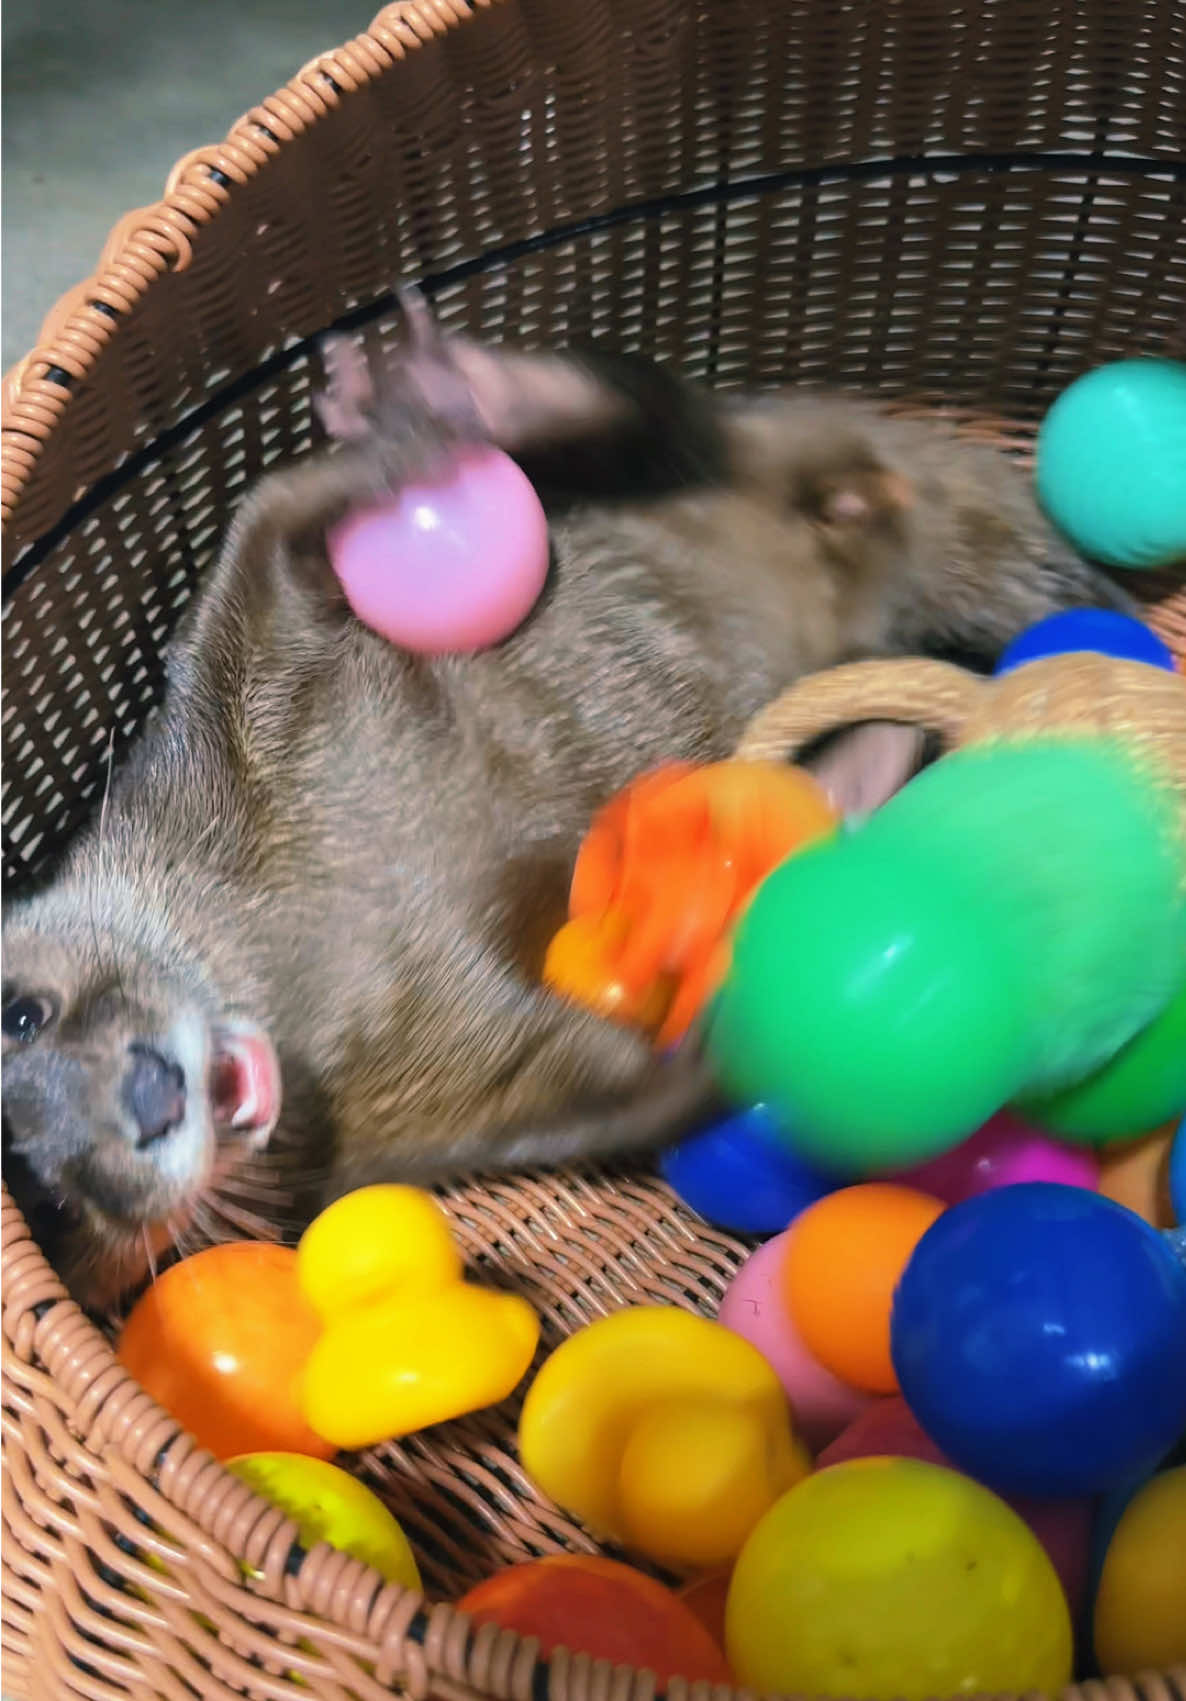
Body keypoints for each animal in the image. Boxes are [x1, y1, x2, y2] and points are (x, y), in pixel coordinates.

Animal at [2, 295, 1129, 1299]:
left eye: (21, 1010)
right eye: (47, 1200)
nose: (147, 1094)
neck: (284, 942)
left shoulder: (229, 696)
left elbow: (267, 523)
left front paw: (390, 446)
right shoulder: (442, 1108)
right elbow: (622, 1092)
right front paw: (740, 1017)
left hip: (709, 457)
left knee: (660, 420)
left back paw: (477, 392)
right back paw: (864, 771)